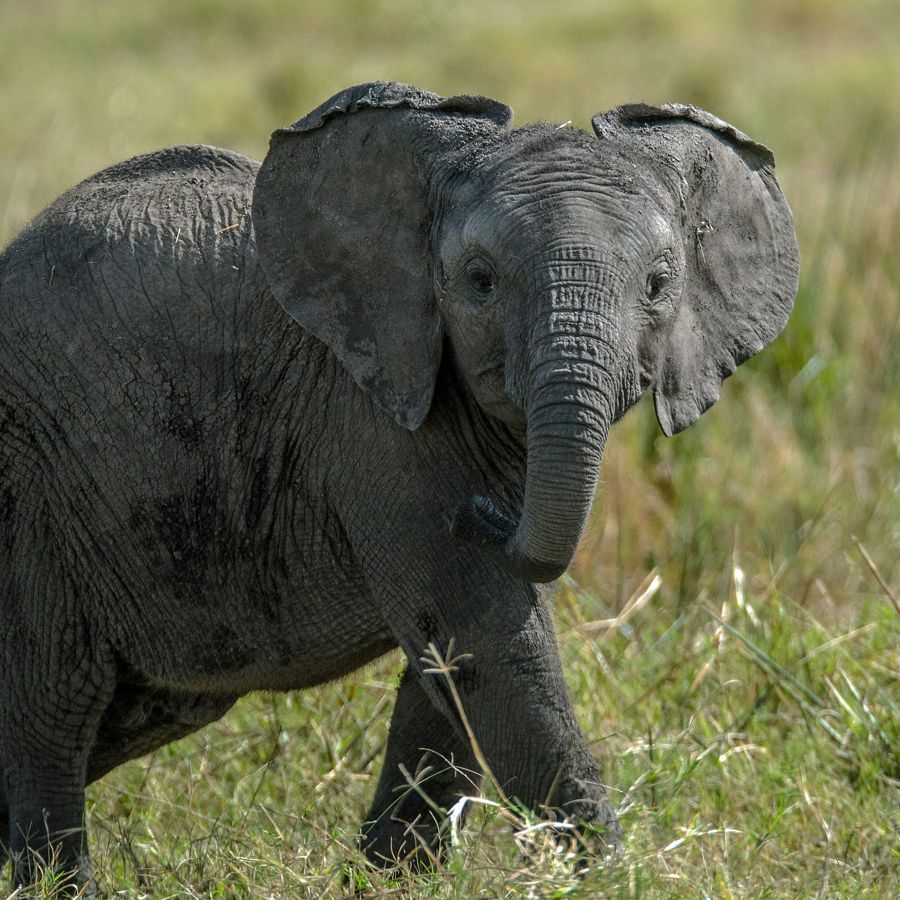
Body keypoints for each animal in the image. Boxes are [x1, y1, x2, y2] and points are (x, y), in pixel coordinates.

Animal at [0, 81, 799, 890]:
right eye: (479, 281)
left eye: (660, 286)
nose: (484, 515)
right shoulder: (377, 429)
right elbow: (488, 640)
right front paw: (608, 883)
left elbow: (450, 669)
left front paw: (391, 880)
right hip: (30, 487)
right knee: (50, 712)